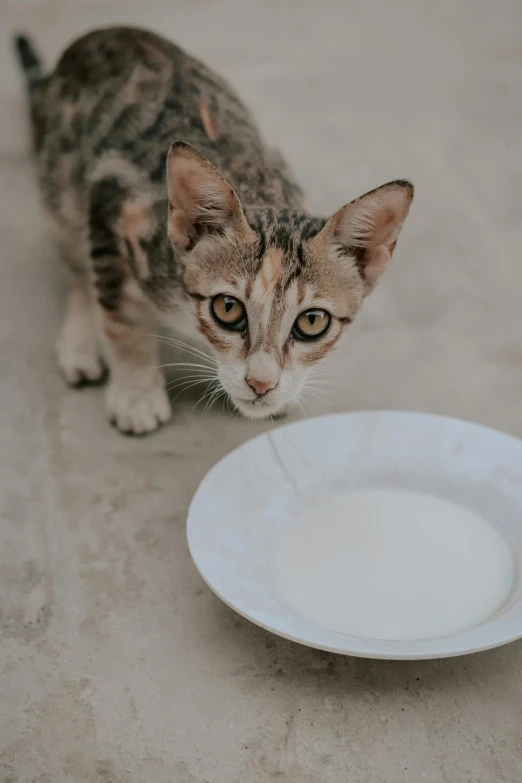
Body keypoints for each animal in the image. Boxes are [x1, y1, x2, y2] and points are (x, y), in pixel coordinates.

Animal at [14, 27, 412, 434]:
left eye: (312, 321)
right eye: (227, 308)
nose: (261, 384)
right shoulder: (114, 200)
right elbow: (122, 317)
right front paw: (136, 395)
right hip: (62, 182)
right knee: (77, 261)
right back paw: (81, 340)